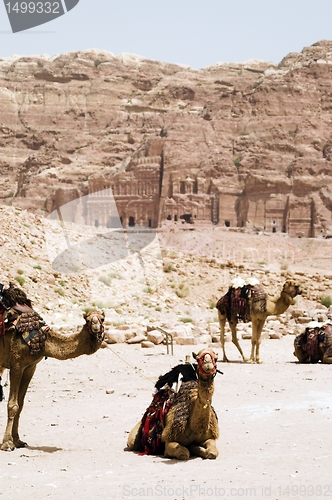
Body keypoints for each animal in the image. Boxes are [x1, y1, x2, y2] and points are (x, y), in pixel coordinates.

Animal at [0, 284, 105, 452]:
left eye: (102, 318)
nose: (95, 326)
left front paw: (18, 441)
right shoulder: (16, 364)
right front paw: (7, 444)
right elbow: (13, 405)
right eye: (87, 319)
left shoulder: (30, 367)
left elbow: (21, 404)